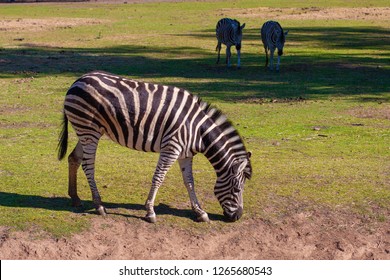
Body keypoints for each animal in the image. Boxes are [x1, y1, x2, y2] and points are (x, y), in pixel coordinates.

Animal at [58, 70, 253, 223]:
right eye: (237, 189)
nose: (237, 217)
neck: (198, 130)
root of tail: (78, 80)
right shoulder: (171, 148)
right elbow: (158, 177)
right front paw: (150, 211)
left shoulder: (185, 154)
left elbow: (189, 182)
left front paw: (200, 212)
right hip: (88, 130)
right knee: (87, 165)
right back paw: (98, 205)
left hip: (88, 132)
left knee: (74, 158)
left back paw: (75, 198)